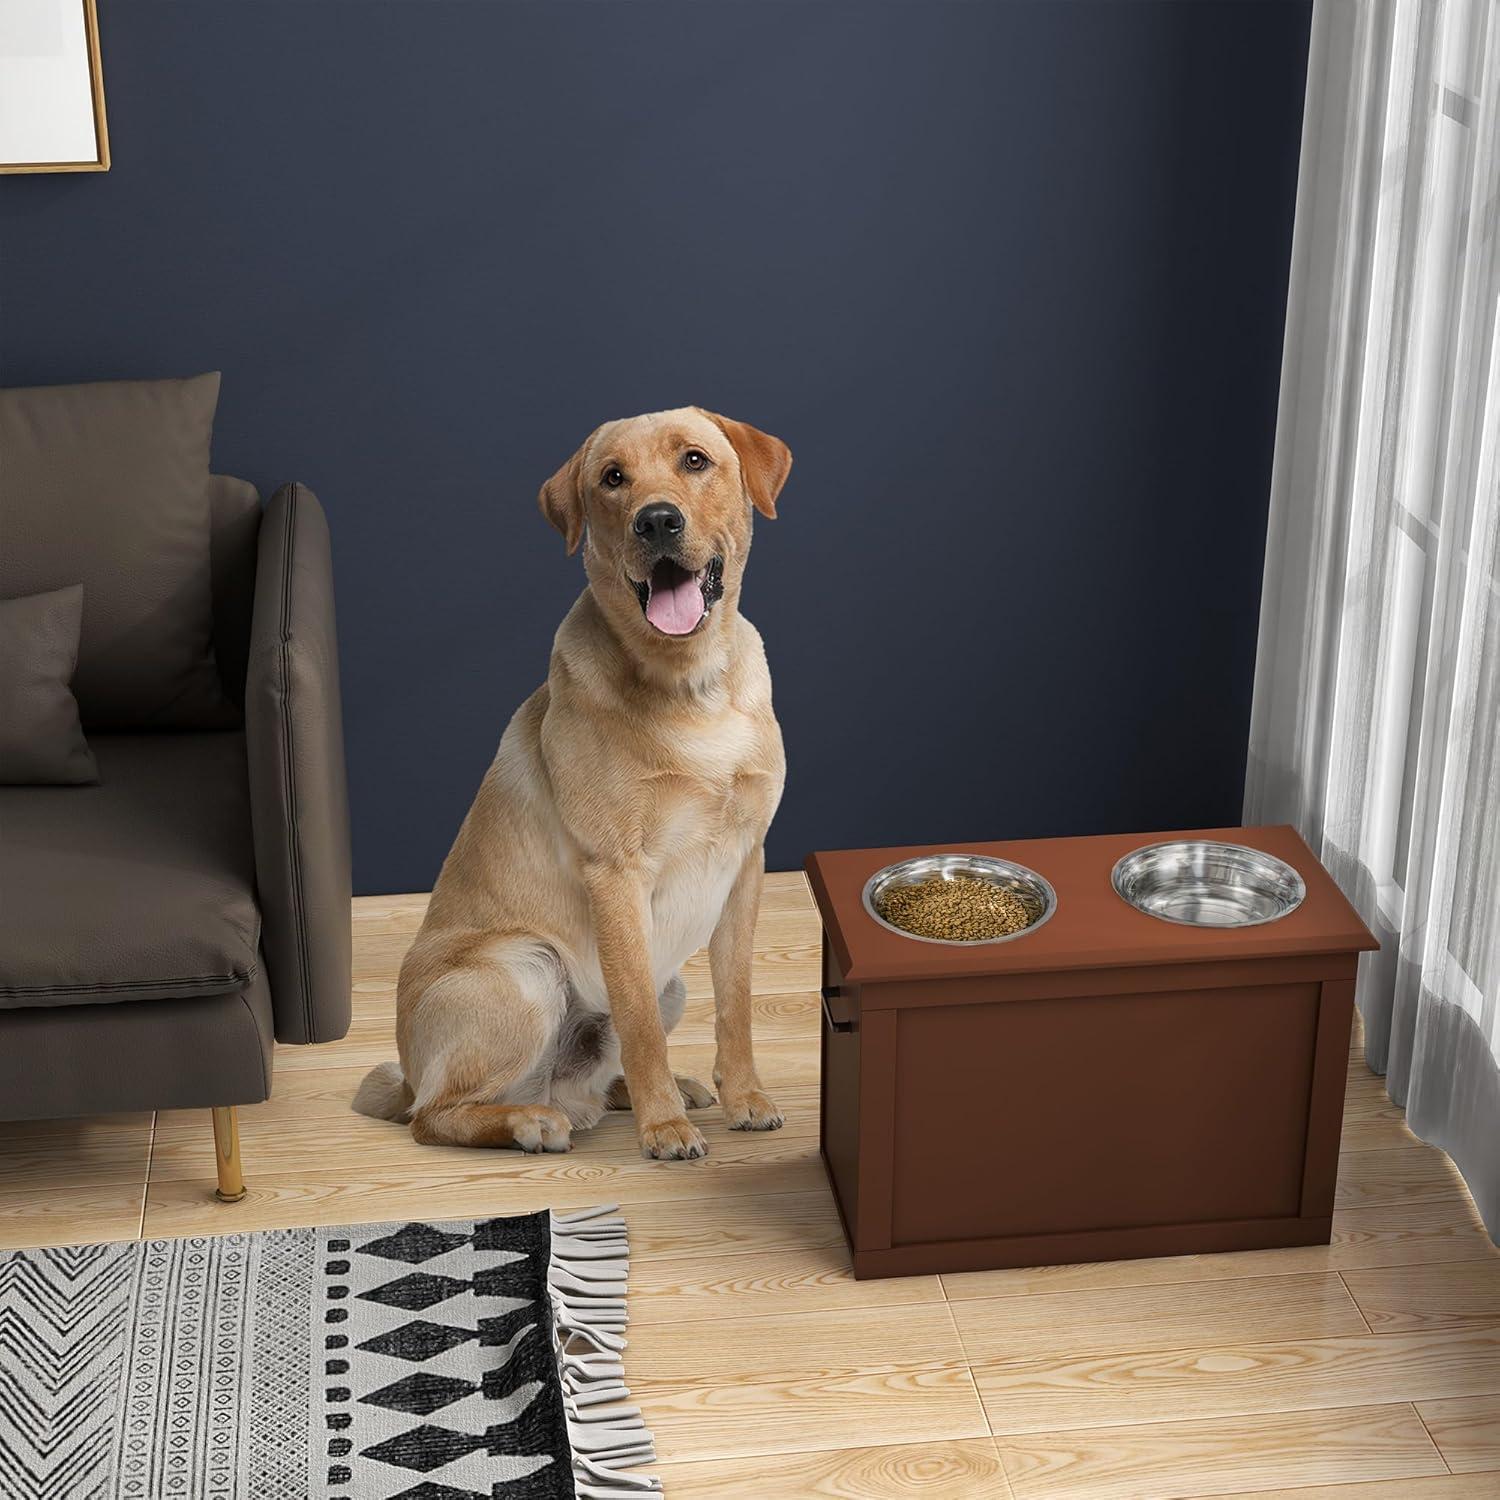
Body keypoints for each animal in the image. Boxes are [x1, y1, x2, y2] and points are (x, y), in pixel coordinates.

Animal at [355, 408, 792, 1158]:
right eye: (612, 479)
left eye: (695, 460)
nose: (656, 521)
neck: (691, 686)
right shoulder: (615, 873)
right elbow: (638, 1022)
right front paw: (663, 1127)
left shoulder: (744, 865)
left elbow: (734, 1006)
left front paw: (745, 1097)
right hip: (525, 969)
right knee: (434, 1115)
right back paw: (532, 1121)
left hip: (667, 986)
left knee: (588, 1078)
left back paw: (637, 1093)